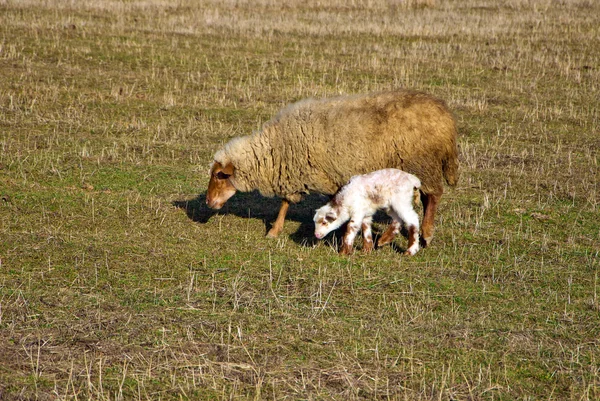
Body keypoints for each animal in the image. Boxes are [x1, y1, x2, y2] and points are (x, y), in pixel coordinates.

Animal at [206, 90, 460, 247]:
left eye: (219, 175)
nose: (208, 202)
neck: (277, 147)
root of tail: (446, 116)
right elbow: (286, 203)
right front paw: (275, 230)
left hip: (423, 163)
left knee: (434, 195)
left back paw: (426, 234)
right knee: (424, 198)